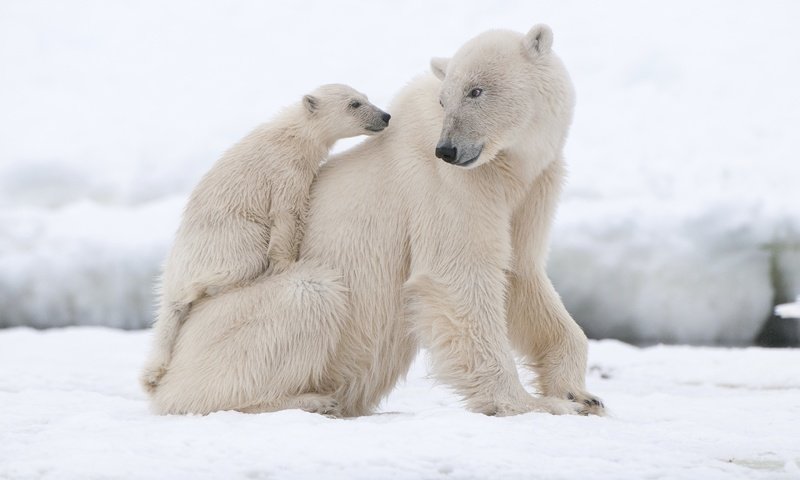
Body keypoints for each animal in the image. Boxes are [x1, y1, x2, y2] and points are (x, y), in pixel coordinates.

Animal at [141, 85, 390, 394]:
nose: (385, 115)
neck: (293, 134)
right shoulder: (285, 170)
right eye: (354, 104)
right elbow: (287, 214)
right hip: (229, 239)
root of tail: (173, 275)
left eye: (366, 97)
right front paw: (286, 264)